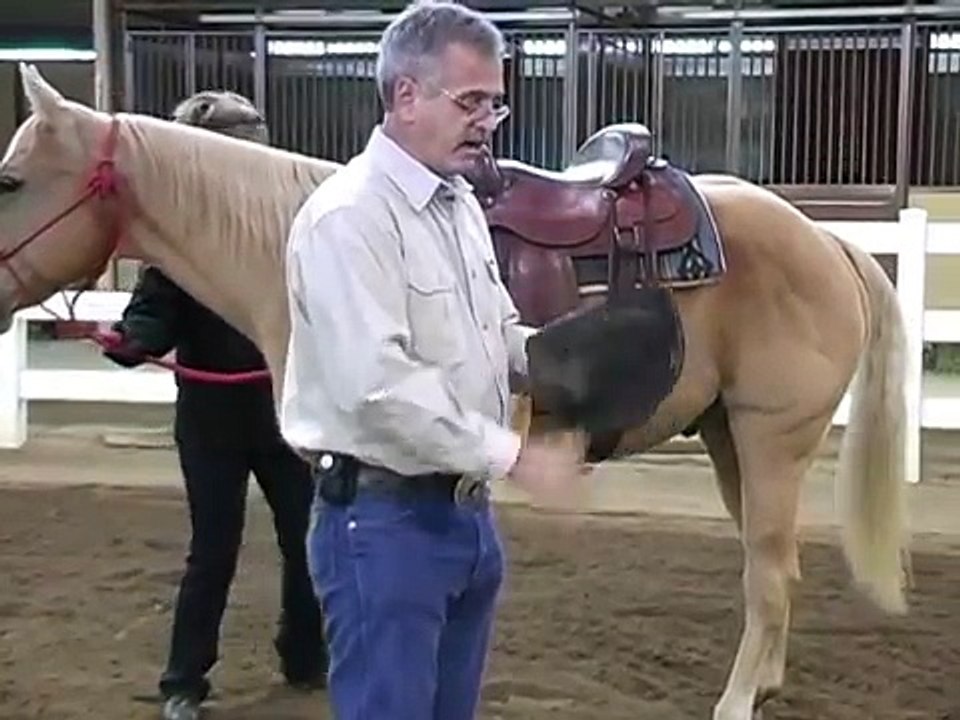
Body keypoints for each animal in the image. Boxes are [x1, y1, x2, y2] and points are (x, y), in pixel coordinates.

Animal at [0, 64, 911, 720]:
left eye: (11, 180)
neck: (293, 239)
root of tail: (827, 240)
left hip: (770, 437)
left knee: (768, 572)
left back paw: (736, 700)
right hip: (728, 437)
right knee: (774, 564)